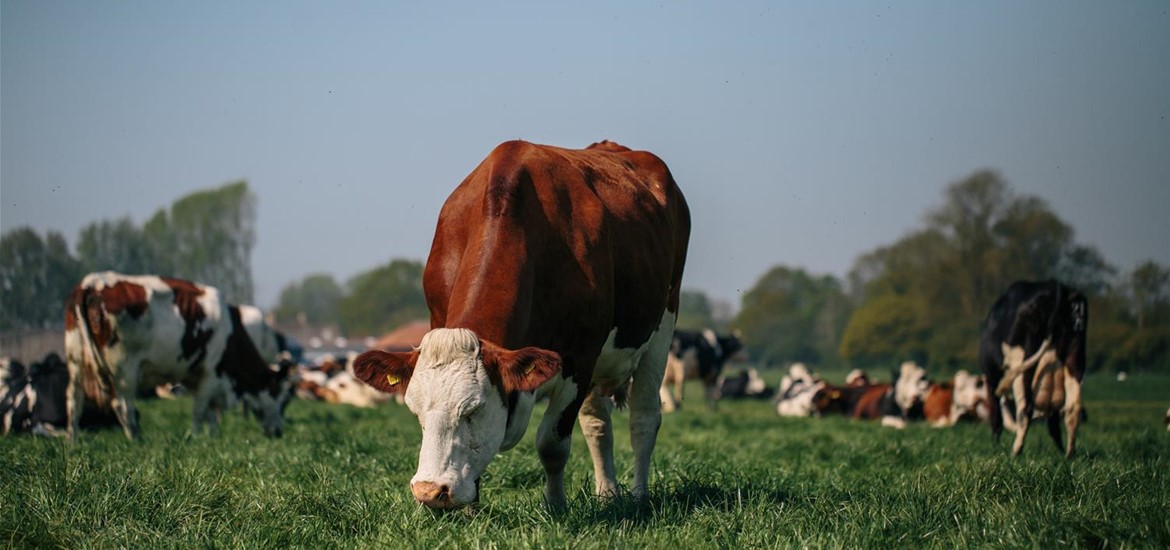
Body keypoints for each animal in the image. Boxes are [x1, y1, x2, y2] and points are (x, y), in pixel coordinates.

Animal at [64, 272, 297, 440]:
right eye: (281, 398)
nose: (278, 432)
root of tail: (91, 284)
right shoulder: (210, 373)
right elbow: (200, 410)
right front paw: (196, 436)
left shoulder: (193, 375)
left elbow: (209, 411)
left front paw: (213, 436)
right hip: (125, 369)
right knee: (122, 406)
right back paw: (136, 440)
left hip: (75, 362)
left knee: (74, 400)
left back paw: (72, 442)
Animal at [351, 138, 687, 510]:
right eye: (414, 412)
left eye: (474, 409)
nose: (429, 491)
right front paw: (470, 511)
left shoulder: (580, 359)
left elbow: (552, 445)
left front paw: (555, 507)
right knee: (598, 425)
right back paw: (607, 493)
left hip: (662, 326)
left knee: (644, 418)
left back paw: (640, 496)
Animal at [978, 279, 1085, 456]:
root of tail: (1054, 286)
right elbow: (1054, 422)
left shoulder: (992, 378)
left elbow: (996, 415)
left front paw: (995, 444)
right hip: (1075, 361)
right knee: (1072, 409)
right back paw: (1069, 454)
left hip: (1022, 366)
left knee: (1025, 410)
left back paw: (1016, 451)